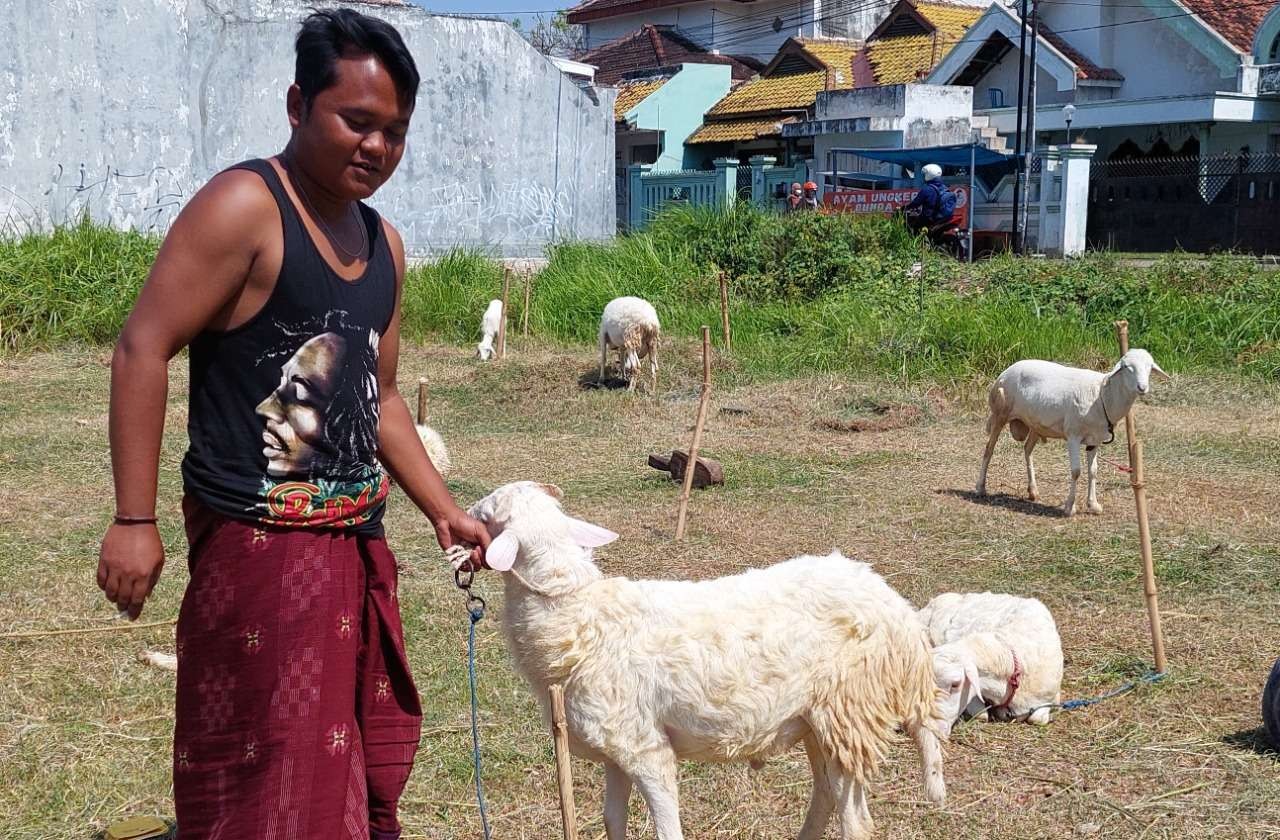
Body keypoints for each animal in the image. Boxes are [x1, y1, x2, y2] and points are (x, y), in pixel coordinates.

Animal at [465, 478, 947, 840]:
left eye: (488, 512)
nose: (465, 510)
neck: (580, 617)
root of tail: (899, 610)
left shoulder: (646, 748)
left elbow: (667, 830)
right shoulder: (618, 745)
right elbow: (612, 820)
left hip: (851, 710)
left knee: (856, 820)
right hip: (820, 720)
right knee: (826, 793)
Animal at [972, 345, 1167, 514]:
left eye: (1150, 367)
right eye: (1127, 367)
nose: (1142, 387)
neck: (1103, 395)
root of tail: (1006, 371)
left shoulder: (1095, 439)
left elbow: (1093, 471)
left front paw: (1093, 505)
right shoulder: (1073, 435)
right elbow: (1076, 471)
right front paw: (1069, 507)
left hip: (1035, 424)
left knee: (1027, 449)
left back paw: (1033, 491)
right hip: (1000, 413)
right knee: (989, 449)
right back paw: (980, 487)